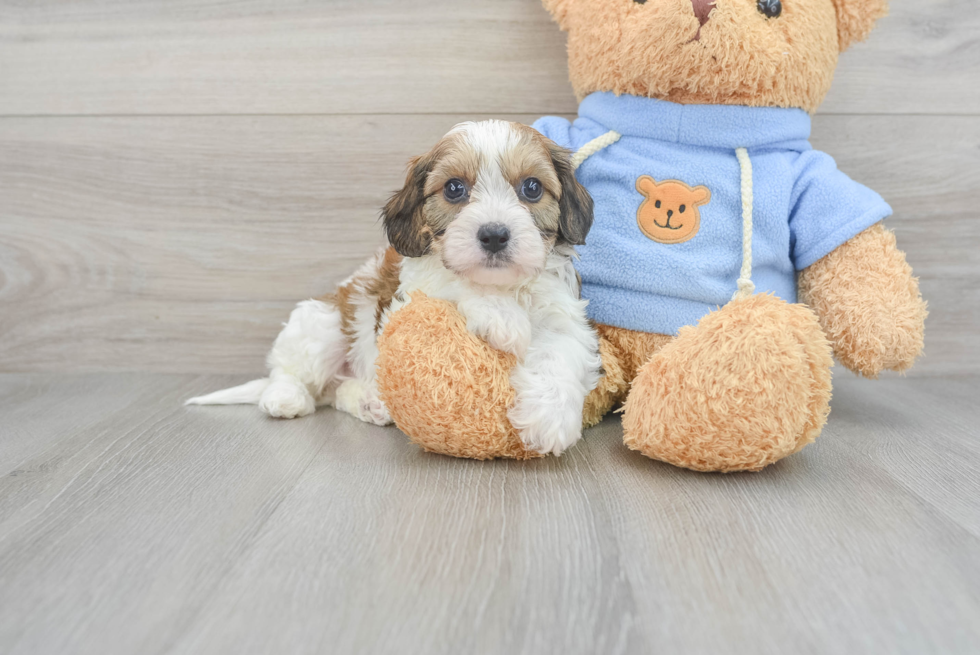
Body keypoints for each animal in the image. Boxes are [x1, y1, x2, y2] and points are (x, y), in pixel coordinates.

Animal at [183, 119, 596, 456]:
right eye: (454, 188)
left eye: (532, 188)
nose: (494, 235)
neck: (504, 285)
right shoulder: (411, 290)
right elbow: (451, 279)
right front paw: (501, 316)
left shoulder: (562, 313)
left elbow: (559, 353)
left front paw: (550, 418)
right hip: (323, 324)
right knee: (288, 372)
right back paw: (286, 398)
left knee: (336, 393)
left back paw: (371, 402)